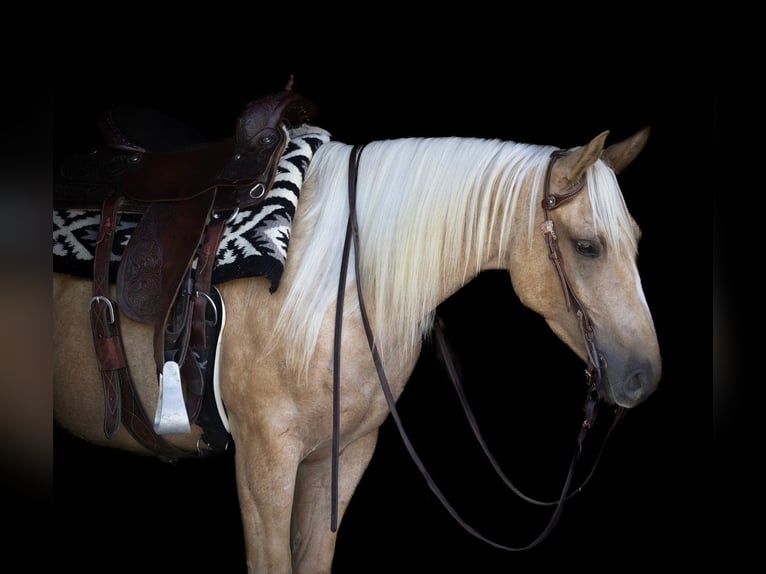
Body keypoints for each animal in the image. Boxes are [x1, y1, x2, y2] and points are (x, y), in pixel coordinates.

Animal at [52, 122, 661, 573]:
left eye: (634, 240)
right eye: (587, 246)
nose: (643, 377)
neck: (327, 285)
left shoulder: (341, 457)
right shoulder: (264, 462)